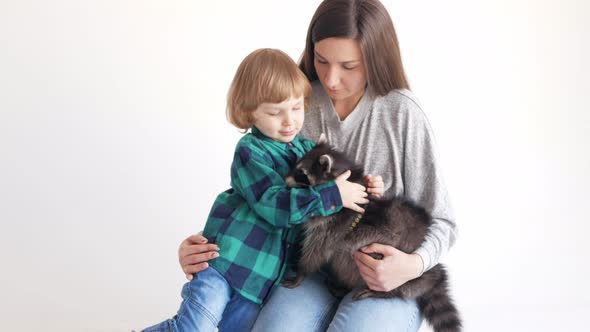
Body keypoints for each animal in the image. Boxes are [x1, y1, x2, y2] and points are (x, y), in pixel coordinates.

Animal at [286, 135, 462, 332]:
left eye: (301, 173)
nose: (285, 179)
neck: (346, 184)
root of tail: (432, 275)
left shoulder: (331, 227)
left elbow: (315, 252)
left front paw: (301, 272)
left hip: (398, 270)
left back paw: (380, 292)